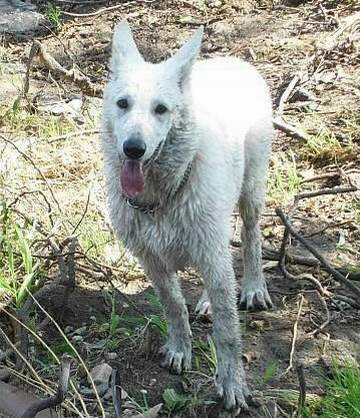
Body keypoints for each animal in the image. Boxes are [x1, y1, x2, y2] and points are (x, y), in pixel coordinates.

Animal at [101, 21, 272, 410]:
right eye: (123, 104)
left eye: (161, 109)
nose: (133, 149)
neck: (160, 198)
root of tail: (235, 60)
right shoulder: (151, 260)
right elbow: (174, 306)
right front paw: (181, 350)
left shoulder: (210, 252)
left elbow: (227, 331)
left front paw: (232, 384)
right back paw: (208, 301)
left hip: (251, 190)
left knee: (251, 237)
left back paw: (253, 287)